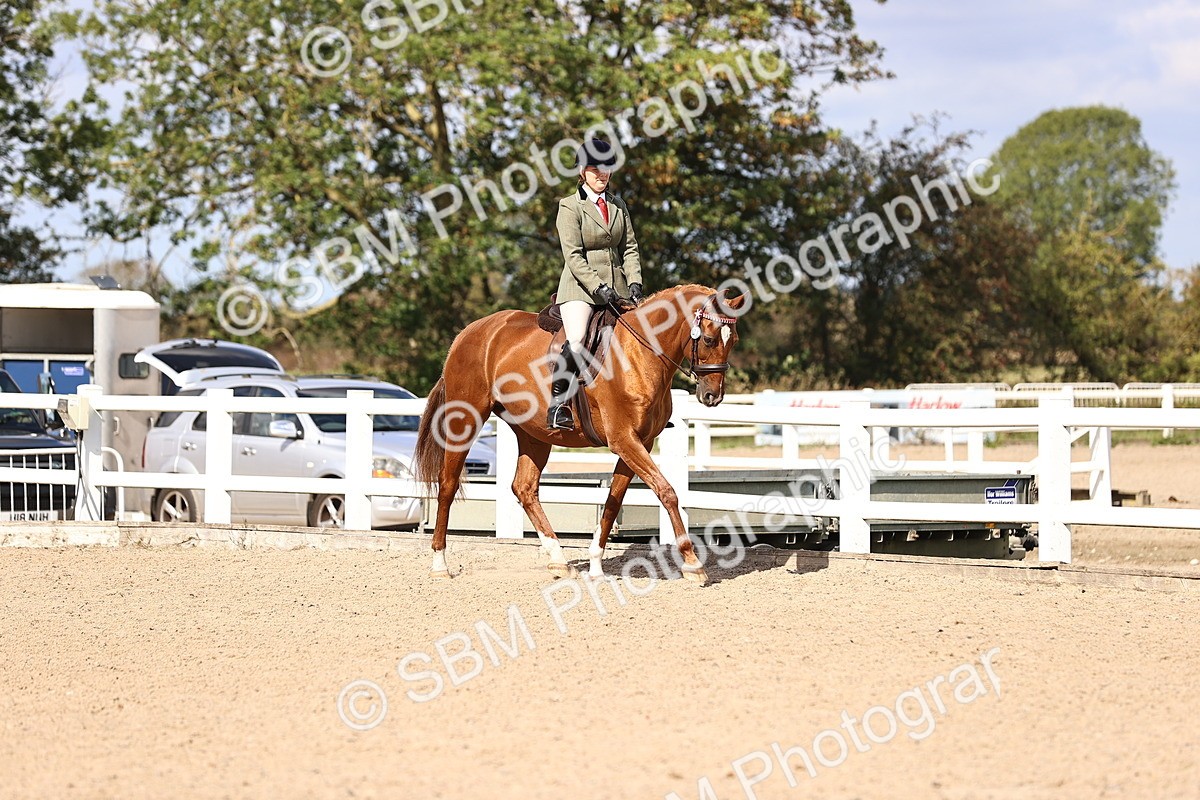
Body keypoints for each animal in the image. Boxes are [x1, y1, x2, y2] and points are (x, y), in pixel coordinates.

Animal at [414, 284, 746, 584]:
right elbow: (667, 492)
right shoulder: (624, 440)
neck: (640, 353)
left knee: (524, 488)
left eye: (733, 340)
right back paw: (440, 564)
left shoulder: (640, 443)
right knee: (448, 484)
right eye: (709, 339)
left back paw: (559, 561)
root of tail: (466, 334)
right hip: (466, 419)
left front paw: (596, 565)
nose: (712, 397)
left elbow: (613, 501)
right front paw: (693, 564)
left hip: (534, 434)